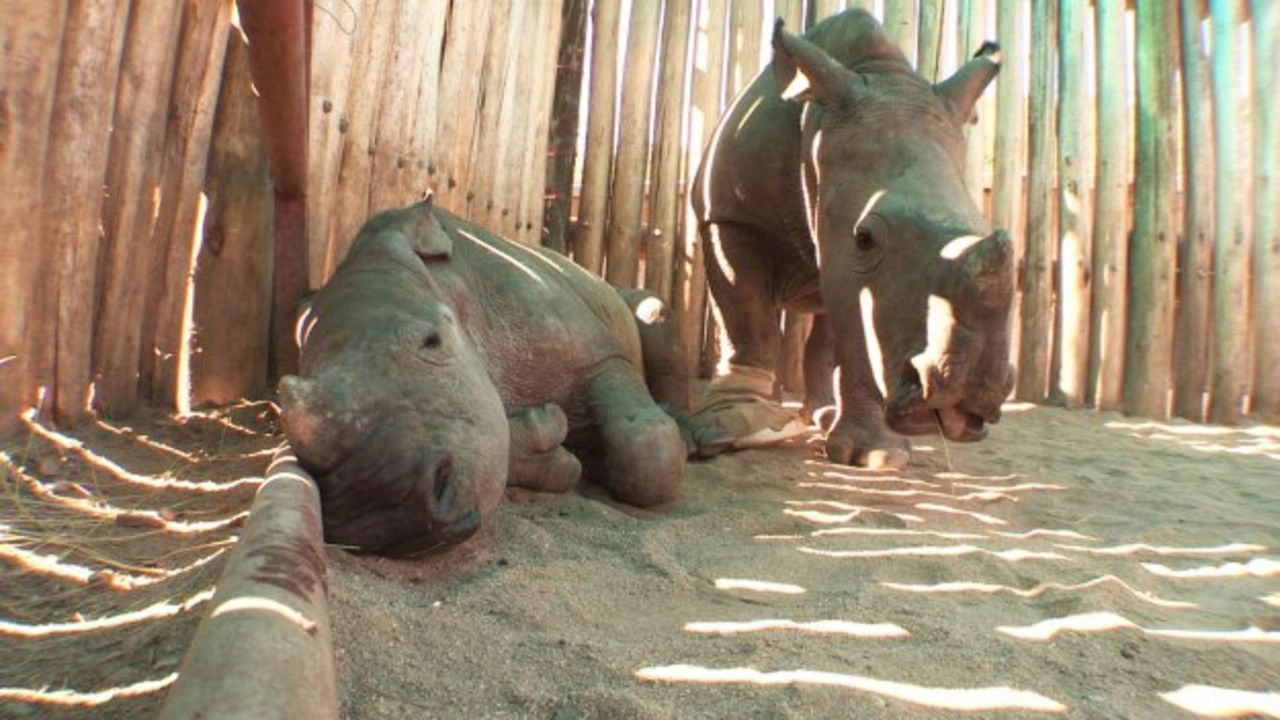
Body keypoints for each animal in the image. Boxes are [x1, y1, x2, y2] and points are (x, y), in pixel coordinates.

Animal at [277, 200, 698, 556]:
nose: (385, 504)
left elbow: (645, 453)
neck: (446, 285)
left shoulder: (601, 357)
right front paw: (562, 452)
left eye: (433, 342)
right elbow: (495, 438)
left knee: (651, 311)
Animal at [689, 9, 1014, 468]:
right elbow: (747, 320)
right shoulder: (731, 216)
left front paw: (874, 455)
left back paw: (821, 415)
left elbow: (855, 335)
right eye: (864, 239)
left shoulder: (845, 258)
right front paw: (730, 426)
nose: (963, 395)